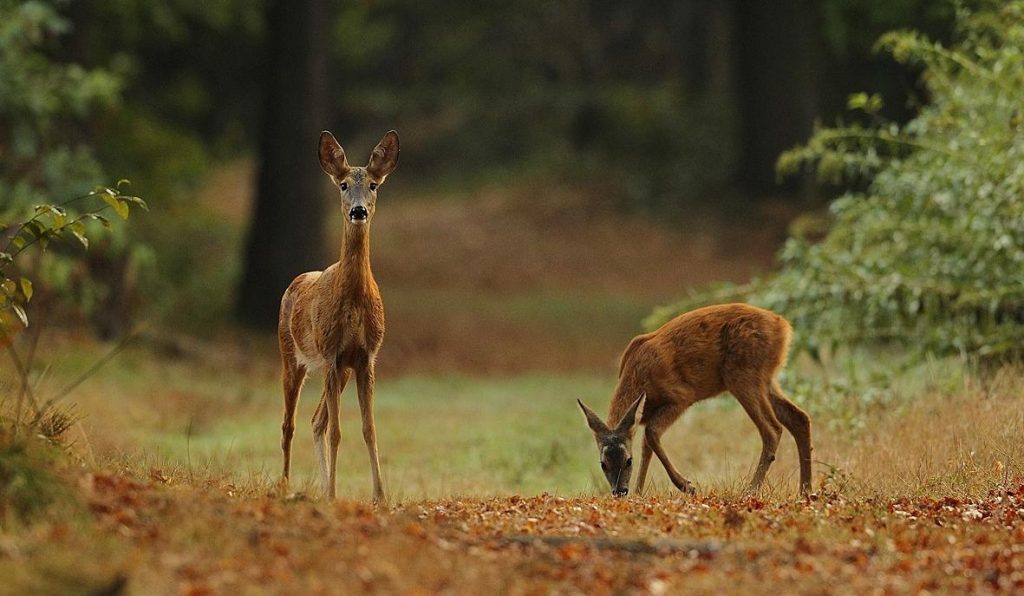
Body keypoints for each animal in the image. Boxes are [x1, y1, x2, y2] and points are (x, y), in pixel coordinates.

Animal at [278, 131, 397, 503]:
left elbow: (368, 428)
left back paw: (318, 485)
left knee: (316, 420)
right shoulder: (330, 352)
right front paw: (332, 494)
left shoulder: (365, 356)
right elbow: (337, 432)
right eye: (343, 185)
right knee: (289, 423)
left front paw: (379, 496)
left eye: (373, 185)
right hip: (291, 354)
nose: (358, 211)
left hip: (342, 369)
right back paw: (285, 485)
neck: (355, 301)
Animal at [581, 305, 811, 497]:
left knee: (772, 429)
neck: (640, 376)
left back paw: (750, 490)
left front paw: (686, 486)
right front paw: (639, 492)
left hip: (743, 375)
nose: (619, 491)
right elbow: (647, 444)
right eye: (603, 464)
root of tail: (783, 326)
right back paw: (805, 490)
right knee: (799, 417)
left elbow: (651, 434)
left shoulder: (680, 397)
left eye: (629, 461)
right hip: (766, 379)